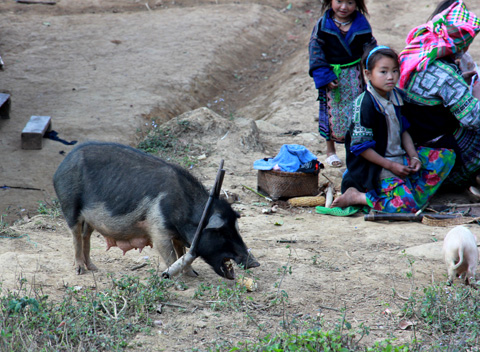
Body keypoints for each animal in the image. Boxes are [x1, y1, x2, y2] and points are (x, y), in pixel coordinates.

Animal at [53, 142, 258, 280]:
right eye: (221, 233)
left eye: (236, 229)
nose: (255, 263)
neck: (185, 210)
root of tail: (61, 166)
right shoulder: (158, 230)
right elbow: (172, 256)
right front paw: (177, 280)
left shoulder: (177, 235)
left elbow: (181, 252)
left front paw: (193, 274)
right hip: (70, 205)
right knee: (76, 236)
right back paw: (80, 270)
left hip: (90, 219)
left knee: (86, 235)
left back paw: (94, 268)